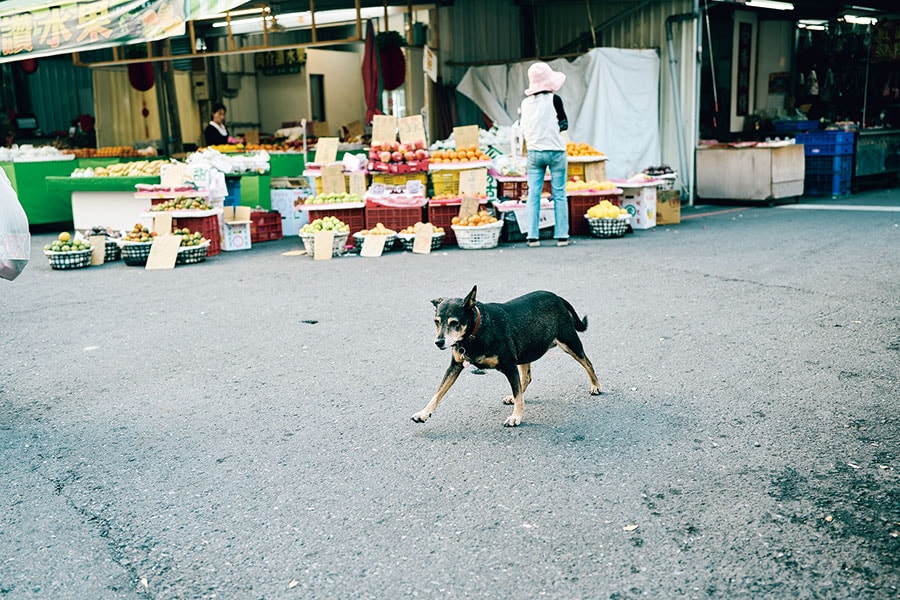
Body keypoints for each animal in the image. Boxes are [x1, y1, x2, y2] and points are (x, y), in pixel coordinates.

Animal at [414, 286, 596, 426]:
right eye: (436, 322)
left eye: (454, 323)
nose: (438, 342)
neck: (477, 330)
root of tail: (557, 297)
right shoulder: (454, 366)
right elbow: (438, 392)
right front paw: (424, 412)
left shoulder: (509, 366)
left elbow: (518, 394)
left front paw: (516, 417)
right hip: (525, 351)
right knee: (526, 378)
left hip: (569, 343)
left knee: (588, 363)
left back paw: (596, 386)